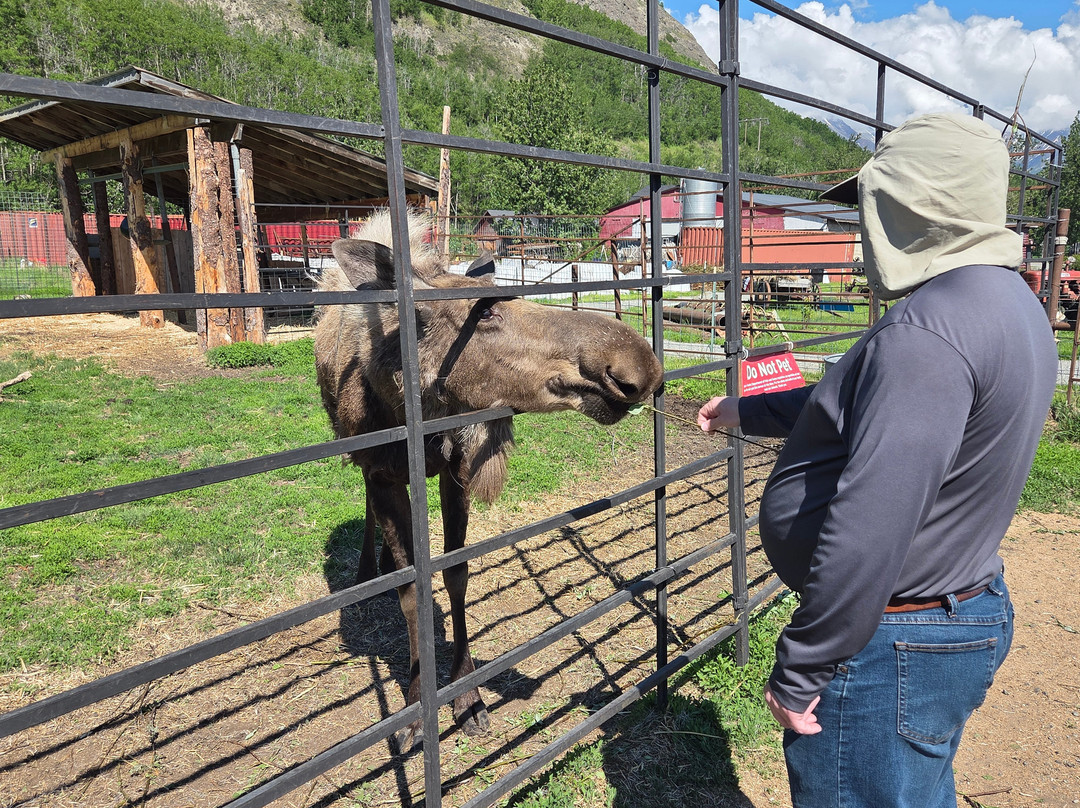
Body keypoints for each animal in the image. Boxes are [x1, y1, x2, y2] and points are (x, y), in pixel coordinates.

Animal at [313, 209, 664, 749]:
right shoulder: (385, 473)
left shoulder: (455, 471)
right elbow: (411, 592)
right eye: (482, 315)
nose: (636, 366)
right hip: (360, 459)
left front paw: (467, 695)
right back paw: (368, 567)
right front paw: (414, 709)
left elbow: (456, 575)